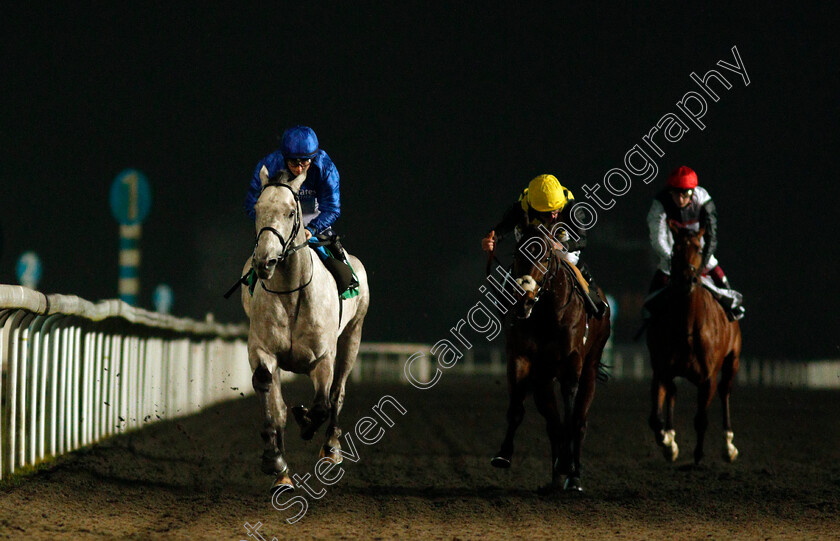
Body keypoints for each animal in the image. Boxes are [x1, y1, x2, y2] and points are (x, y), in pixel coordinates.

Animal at [236, 168, 368, 490]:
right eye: (258, 209)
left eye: (290, 211)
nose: (265, 261)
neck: (291, 294)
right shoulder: (262, 349)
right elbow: (273, 401)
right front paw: (276, 462)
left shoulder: (322, 357)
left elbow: (322, 404)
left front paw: (307, 424)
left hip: (353, 335)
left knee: (338, 393)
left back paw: (331, 448)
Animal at [492, 226, 612, 492]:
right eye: (517, 255)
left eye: (546, 258)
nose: (524, 299)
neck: (546, 314)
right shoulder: (521, 357)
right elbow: (517, 409)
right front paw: (503, 454)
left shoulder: (572, 362)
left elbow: (570, 415)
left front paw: (568, 466)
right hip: (543, 379)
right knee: (553, 423)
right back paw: (557, 476)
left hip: (590, 367)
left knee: (579, 422)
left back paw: (573, 476)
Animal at [648, 224, 740, 464]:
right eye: (675, 249)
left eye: (699, 249)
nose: (686, 280)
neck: (687, 326)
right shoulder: (662, 370)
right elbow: (655, 419)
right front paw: (668, 442)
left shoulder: (708, 378)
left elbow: (700, 418)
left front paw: (698, 454)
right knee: (672, 393)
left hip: (732, 360)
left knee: (725, 391)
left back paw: (729, 445)